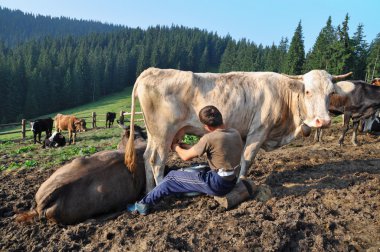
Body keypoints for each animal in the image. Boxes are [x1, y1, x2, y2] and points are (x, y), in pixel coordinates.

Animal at [125, 68, 354, 192]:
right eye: (308, 91)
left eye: (331, 93)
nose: (323, 121)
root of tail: (152, 70)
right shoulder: (259, 130)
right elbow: (247, 158)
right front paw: (242, 182)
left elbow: (236, 159)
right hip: (163, 133)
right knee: (157, 162)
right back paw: (160, 188)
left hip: (154, 135)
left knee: (146, 157)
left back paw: (148, 190)